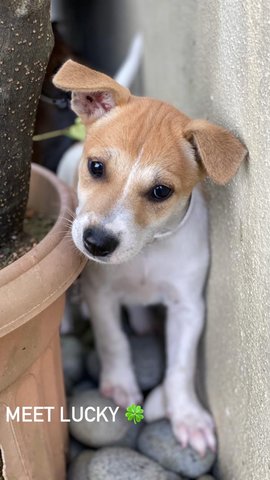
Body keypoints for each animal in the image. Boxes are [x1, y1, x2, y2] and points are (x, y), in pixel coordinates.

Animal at [53, 62, 247, 456]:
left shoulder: (188, 307)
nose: (96, 243)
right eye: (96, 167)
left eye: (160, 191)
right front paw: (119, 384)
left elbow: (182, 366)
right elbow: (113, 339)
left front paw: (187, 415)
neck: (148, 249)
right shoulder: (100, 293)